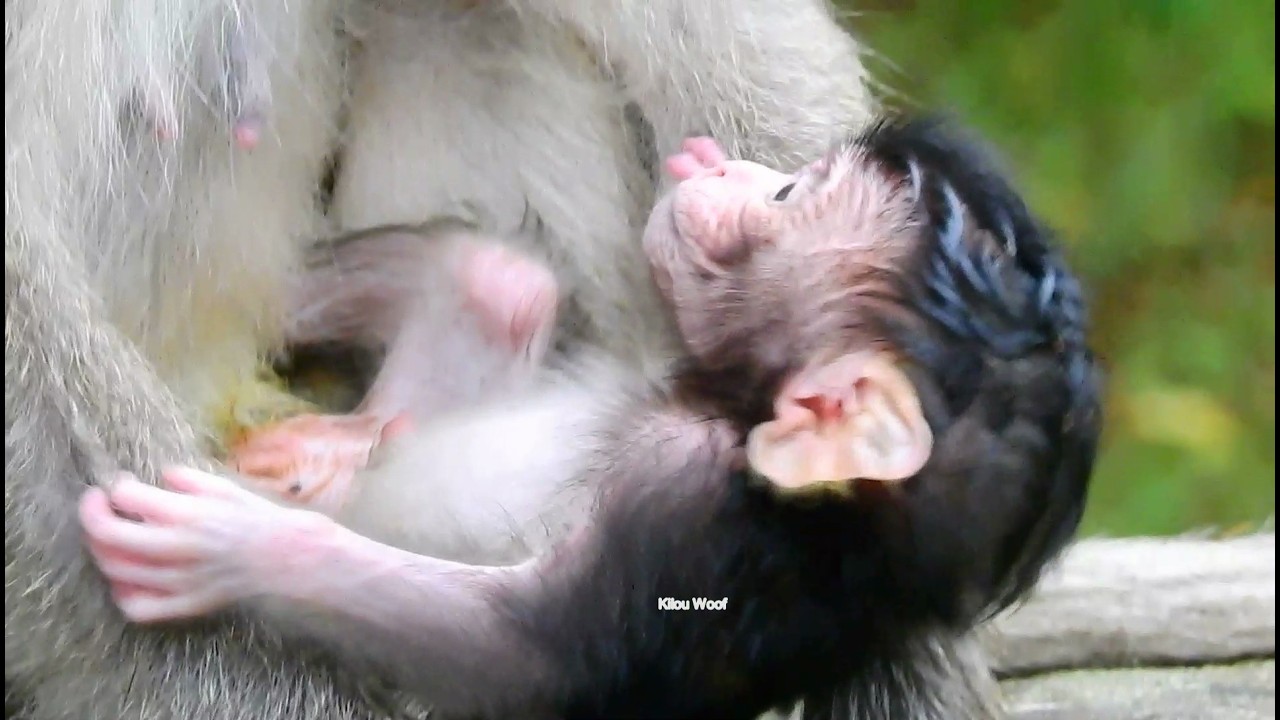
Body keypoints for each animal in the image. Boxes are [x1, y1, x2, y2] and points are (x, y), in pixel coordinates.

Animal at [80, 116, 1102, 719]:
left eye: (786, 198)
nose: (731, 170)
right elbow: (502, 288)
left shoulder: (692, 516)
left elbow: (524, 657)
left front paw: (227, 547)